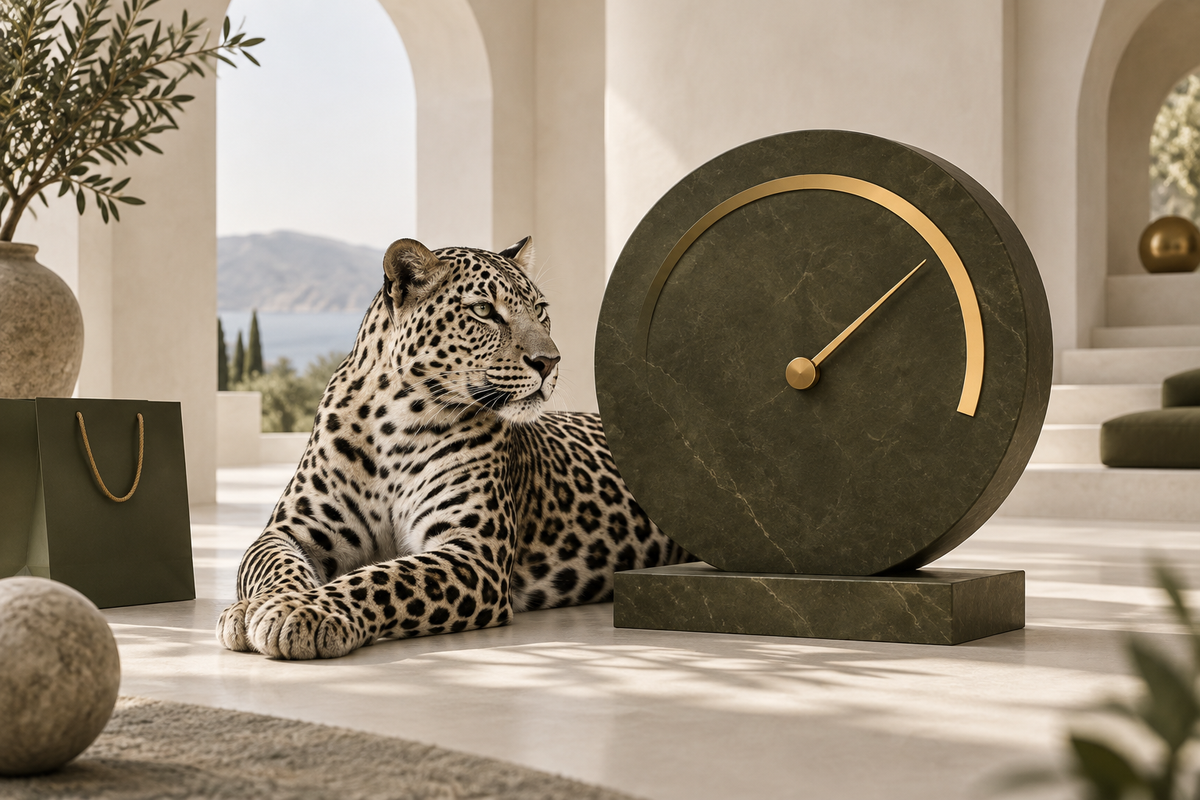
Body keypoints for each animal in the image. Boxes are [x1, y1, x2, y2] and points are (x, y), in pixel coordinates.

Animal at [217, 236, 690, 660]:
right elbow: (272, 564)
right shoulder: (291, 529)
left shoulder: (473, 551)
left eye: (540, 311)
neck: (394, 420)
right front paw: (251, 608)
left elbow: (384, 578)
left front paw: (304, 610)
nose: (550, 362)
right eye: (483, 311)